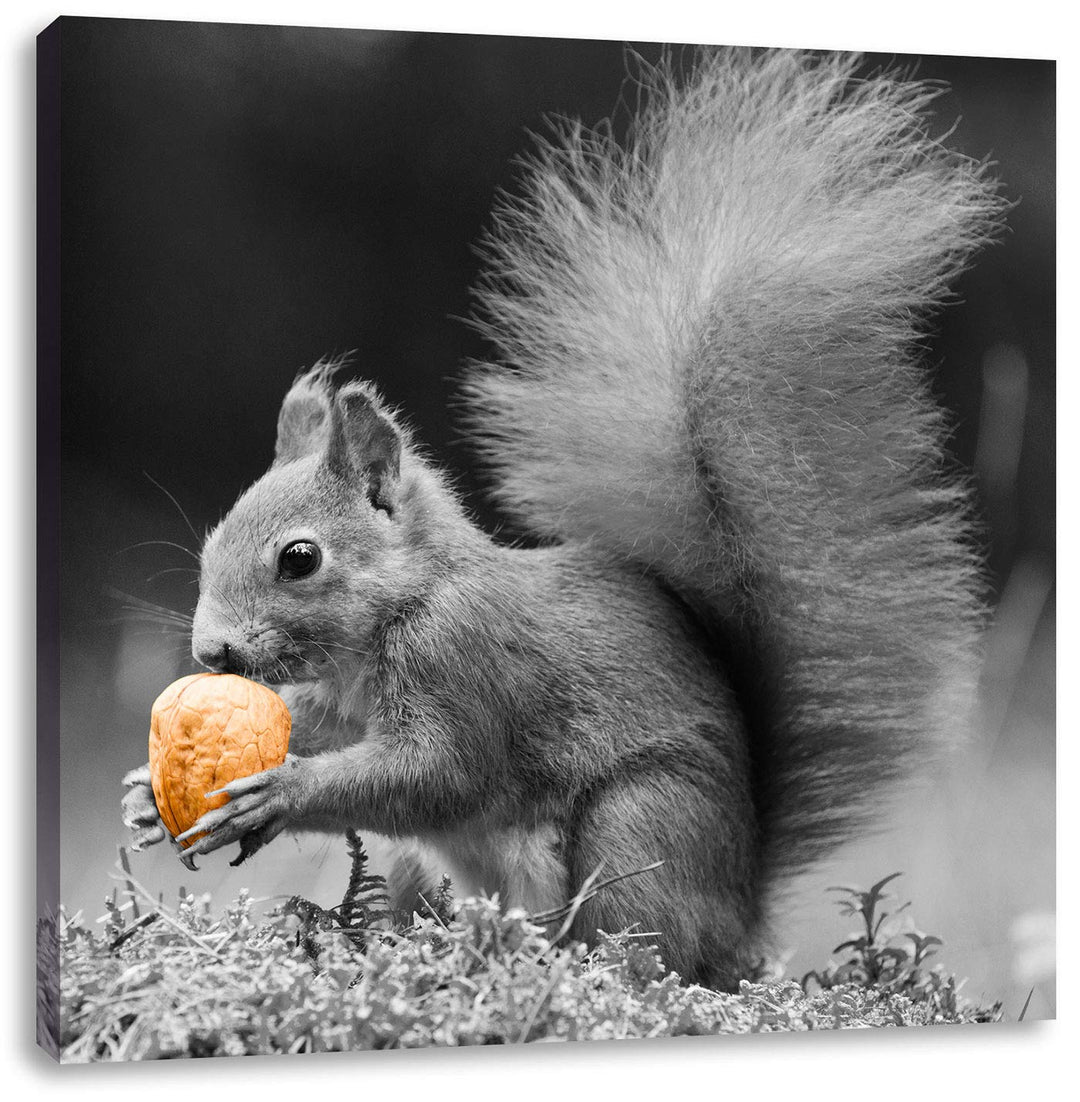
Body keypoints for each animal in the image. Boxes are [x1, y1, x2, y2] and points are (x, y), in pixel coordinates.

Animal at [121, 48, 1004, 990]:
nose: (212, 651)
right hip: (427, 869)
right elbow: (329, 732)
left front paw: (278, 793)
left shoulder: (464, 663)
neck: (407, 603)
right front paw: (145, 793)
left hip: (641, 827)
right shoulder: (340, 701)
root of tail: (740, 912)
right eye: (213, 543)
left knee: (639, 944)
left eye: (299, 558)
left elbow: (434, 775)